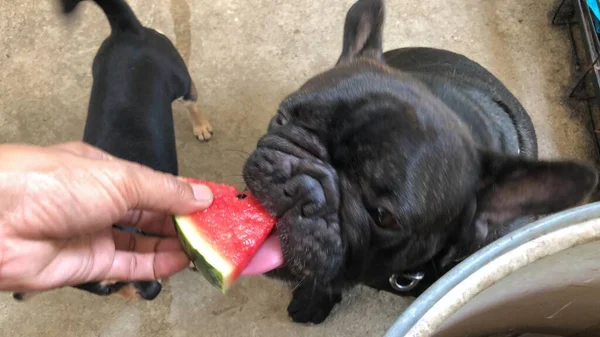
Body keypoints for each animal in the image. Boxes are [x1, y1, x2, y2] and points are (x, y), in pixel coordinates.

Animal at [11, 0, 213, 300]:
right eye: (108, 289)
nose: (152, 292)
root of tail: (128, 31)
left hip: (180, 81)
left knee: (192, 100)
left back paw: (201, 126)